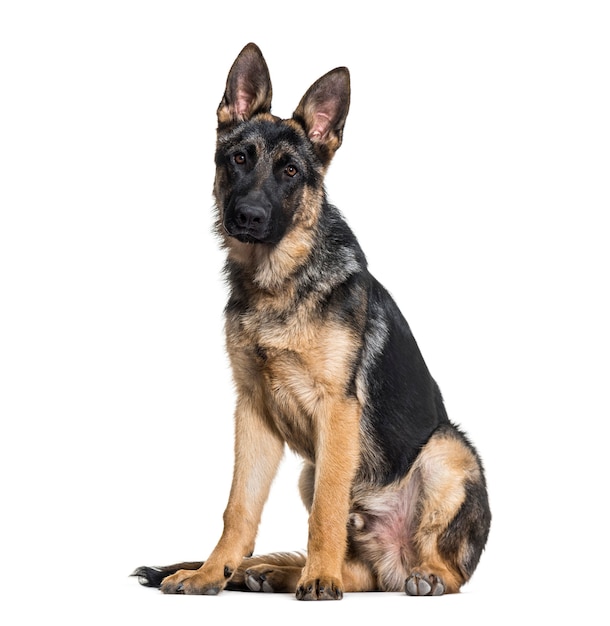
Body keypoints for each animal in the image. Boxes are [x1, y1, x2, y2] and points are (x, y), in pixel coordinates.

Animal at [133, 41, 490, 596]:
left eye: (290, 172)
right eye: (239, 159)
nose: (249, 217)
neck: (280, 280)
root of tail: (396, 561)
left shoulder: (337, 411)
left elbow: (326, 509)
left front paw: (318, 579)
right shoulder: (253, 412)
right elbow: (238, 508)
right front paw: (212, 572)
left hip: (446, 450)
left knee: (446, 568)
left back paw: (415, 576)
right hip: (310, 472)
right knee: (360, 571)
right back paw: (268, 572)